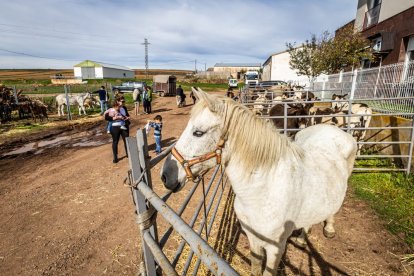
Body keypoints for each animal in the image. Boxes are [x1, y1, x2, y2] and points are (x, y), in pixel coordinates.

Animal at [160, 89, 358, 276]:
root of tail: (333, 128)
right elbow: (255, 267)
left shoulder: (275, 247)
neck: (262, 191)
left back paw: (329, 228)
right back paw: (302, 238)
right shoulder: (253, 239)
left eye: (198, 133)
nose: (165, 176)